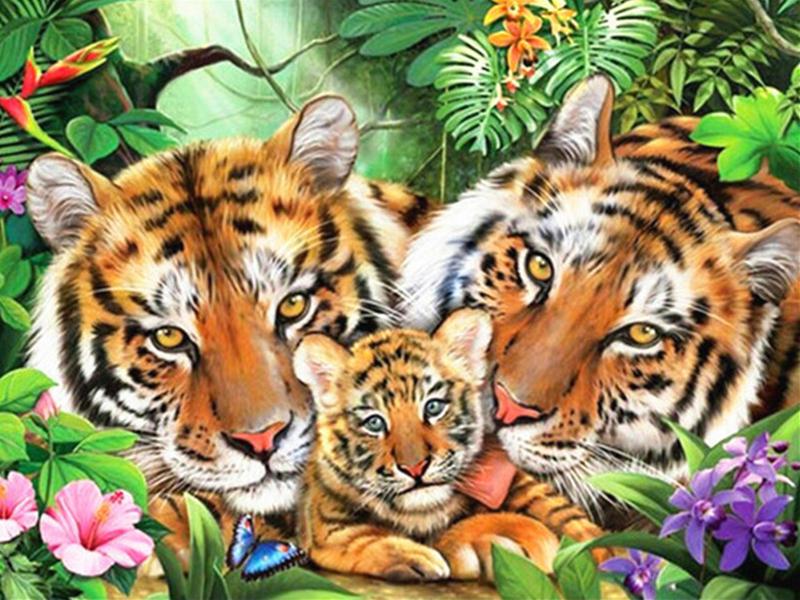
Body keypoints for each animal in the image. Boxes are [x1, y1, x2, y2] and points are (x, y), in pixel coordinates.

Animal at [293, 307, 606, 582]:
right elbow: (366, 540)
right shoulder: (327, 527)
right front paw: (423, 558)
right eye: (374, 423)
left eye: (433, 407)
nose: (415, 468)